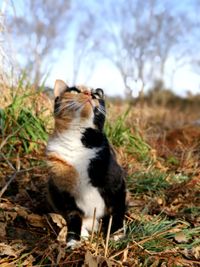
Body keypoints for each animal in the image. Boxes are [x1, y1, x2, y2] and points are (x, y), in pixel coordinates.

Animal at [46, 80, 126, 248]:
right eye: (75, 91)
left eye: (96, 94)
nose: (90, 94)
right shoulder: (63, 190)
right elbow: (73, 215)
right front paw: (73, 239)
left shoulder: (116, 182)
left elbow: (117, 209)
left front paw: (116, 233)